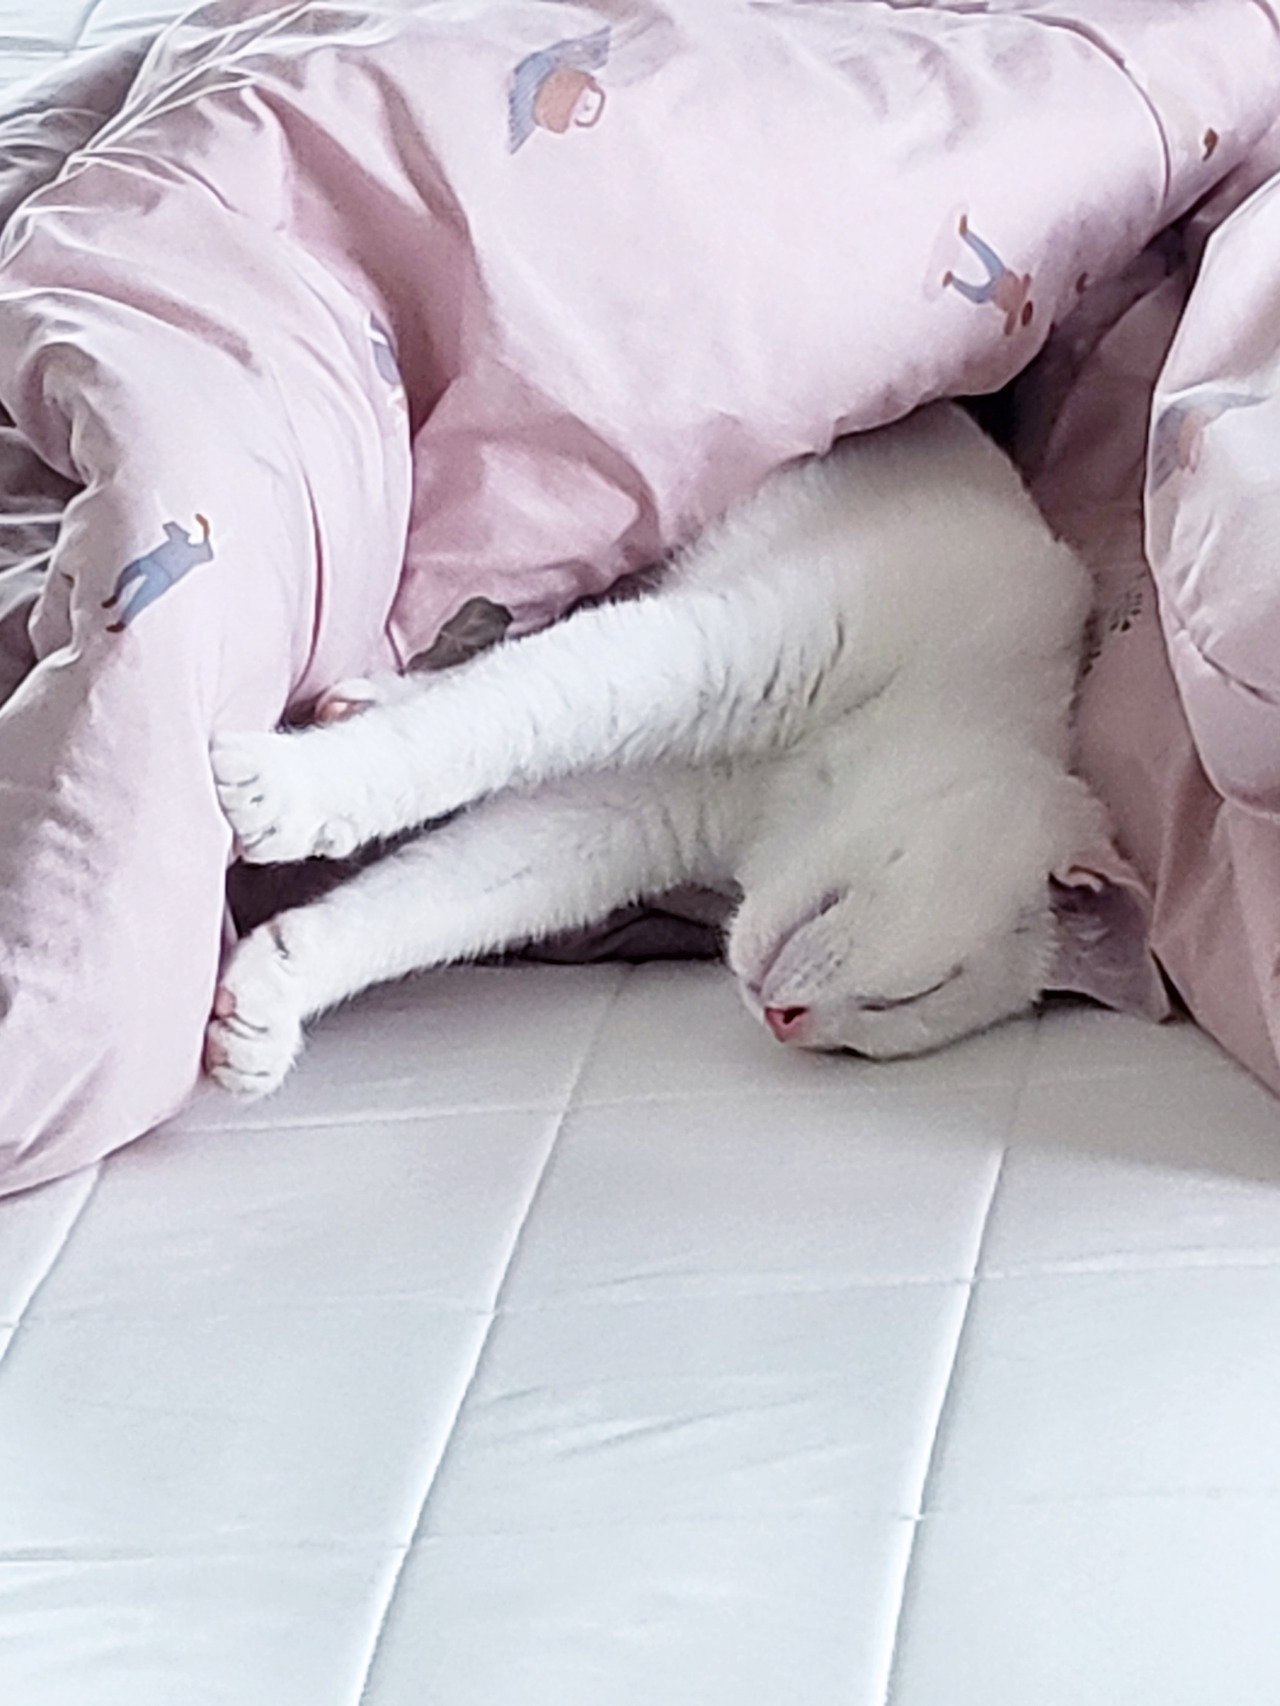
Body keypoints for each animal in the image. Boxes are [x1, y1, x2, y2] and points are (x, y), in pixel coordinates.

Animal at [205, 401, 1115, 1096]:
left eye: (868, 1035)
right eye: (920, 991)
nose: (786, 1025)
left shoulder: (622, 816)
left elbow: (434, 900)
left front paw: (273, 994)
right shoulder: (720, 652)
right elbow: (482, 725)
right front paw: (287, 790)